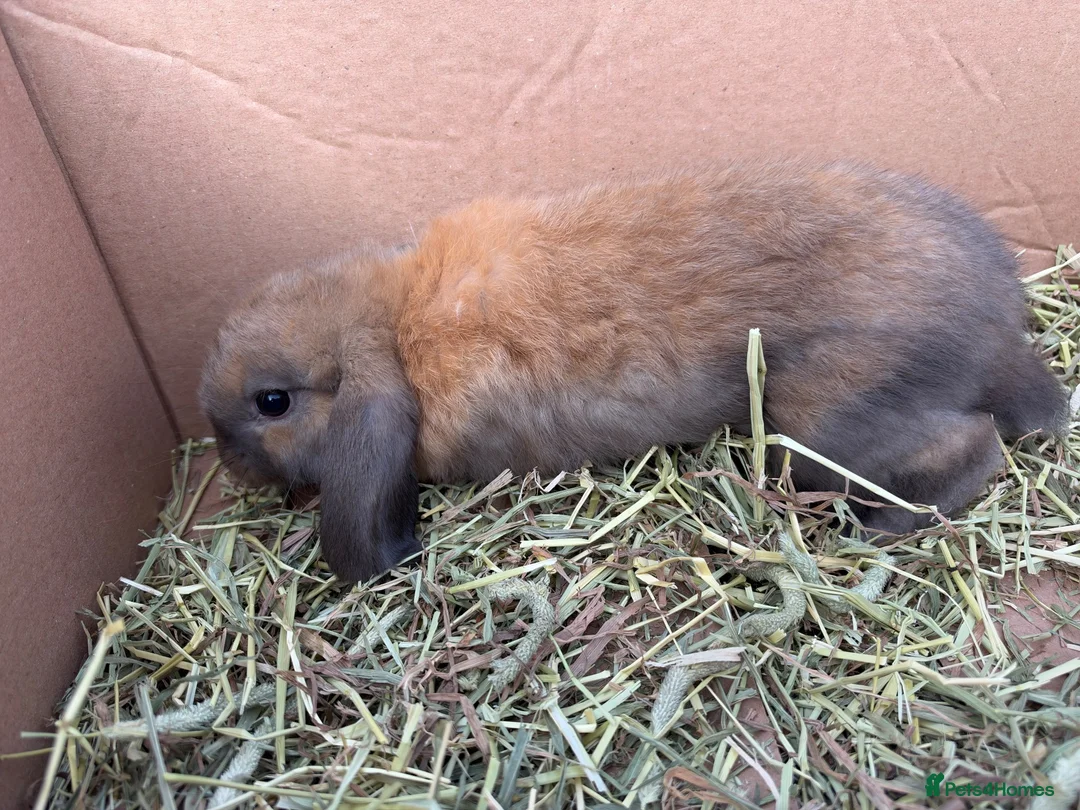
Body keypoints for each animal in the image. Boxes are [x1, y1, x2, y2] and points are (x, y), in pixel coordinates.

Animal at [198, 159, 1069, 583]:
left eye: (271, 402)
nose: (227, 465)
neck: (394, 327)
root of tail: (1001, 328)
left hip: (821, 427)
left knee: (975, 448)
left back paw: (884, 526)